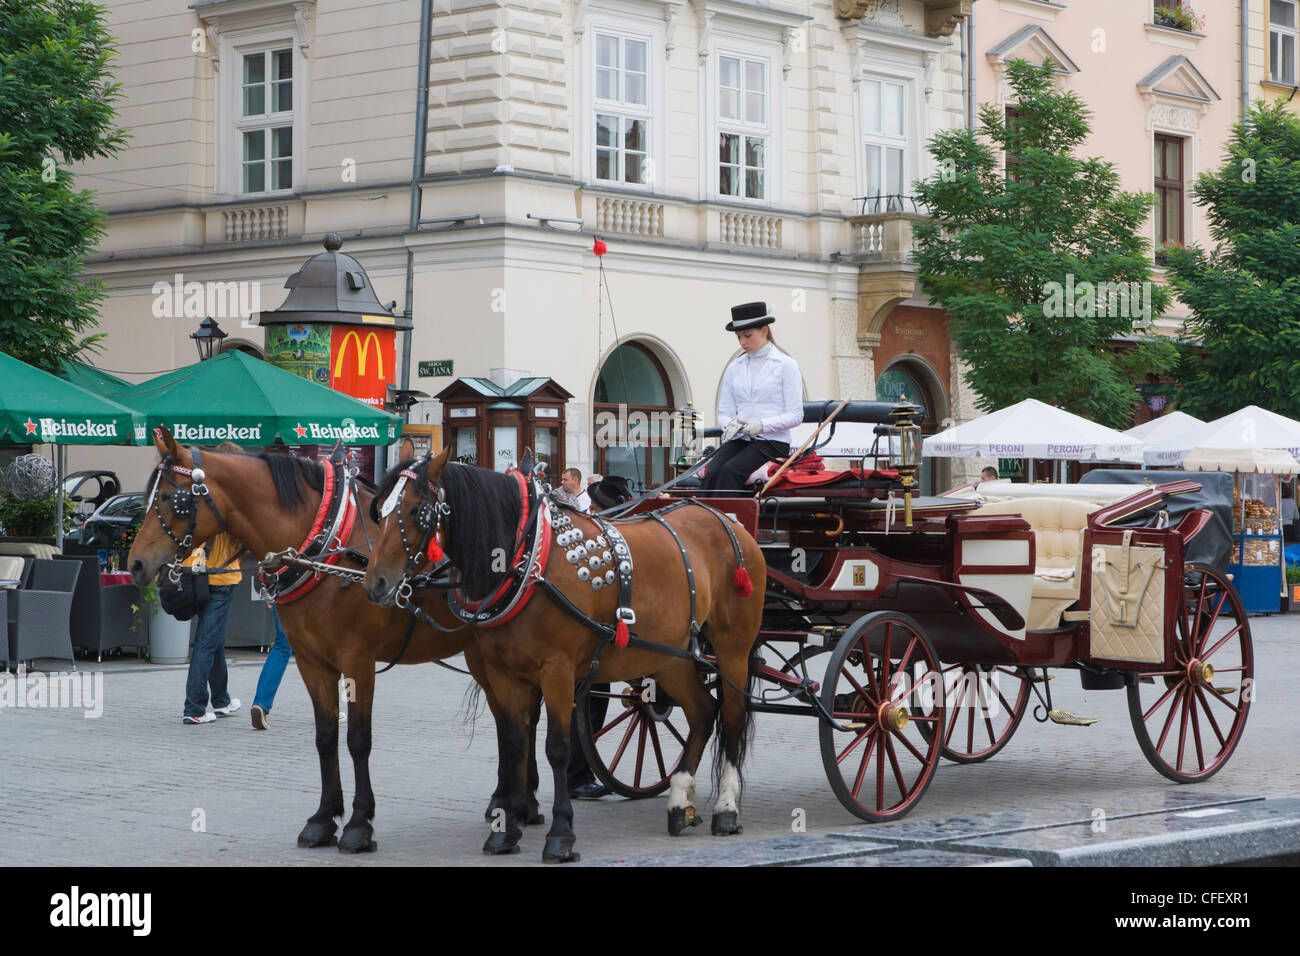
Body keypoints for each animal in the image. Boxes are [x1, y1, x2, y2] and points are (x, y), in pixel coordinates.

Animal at [128, 431, 543, 853]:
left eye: (171, 498)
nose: (135, 564)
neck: (327, 552)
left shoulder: (357, 659)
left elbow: (358, 739)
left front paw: (359, 824)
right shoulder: (311, 662)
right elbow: (325, 737)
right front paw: (323, 819)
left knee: (522, 718)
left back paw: (520, 804)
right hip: (486, 653)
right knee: (511, 719)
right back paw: (510, 801)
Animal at [361, 452, 764, 863]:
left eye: (416, 511)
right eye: (381, 508)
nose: (375, 583)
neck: (527, 560)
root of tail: (723, 518)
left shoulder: (558, 670)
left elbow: (557, 747)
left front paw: (560, 835)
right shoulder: (504, 672)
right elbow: (514, 740)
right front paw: (506, 830)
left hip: (732, 647)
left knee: (732, 715)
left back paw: (726, 809)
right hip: (672, 656)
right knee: (703, 712)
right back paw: (680, 801)